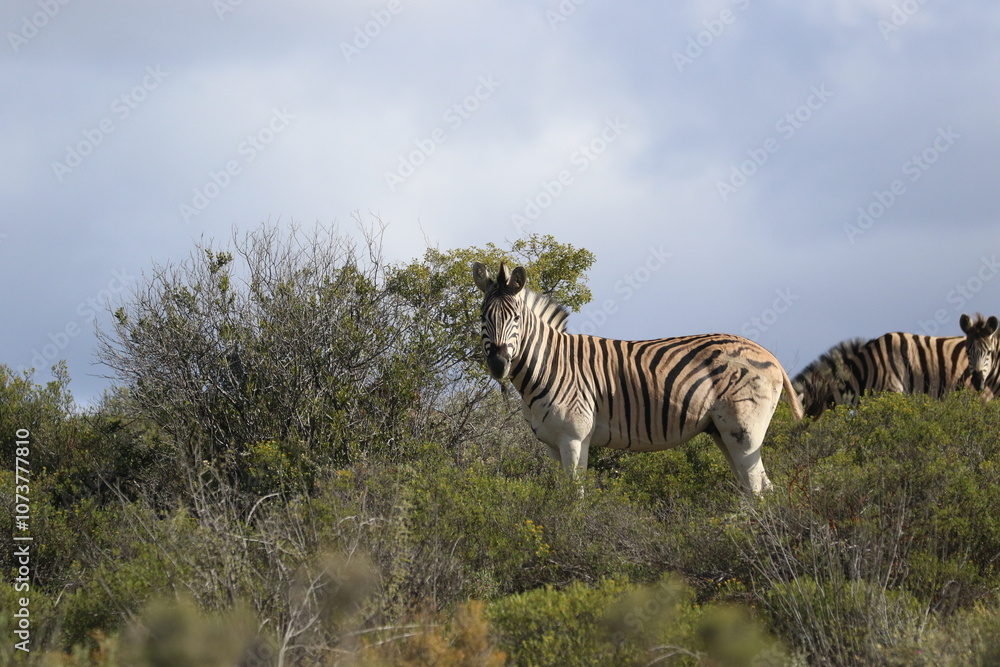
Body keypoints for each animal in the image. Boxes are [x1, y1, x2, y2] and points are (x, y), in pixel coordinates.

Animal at [473, 261, 803, 494]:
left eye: (516, 318)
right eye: (482, 317)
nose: (499, 364)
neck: (548, 365)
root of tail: (766, 353)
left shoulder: (575, 437)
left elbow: (574, 496)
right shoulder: (553, 444)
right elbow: (560, 495)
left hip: (744, 429)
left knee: (757, 488)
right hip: (721, 431)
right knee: (757, 487)